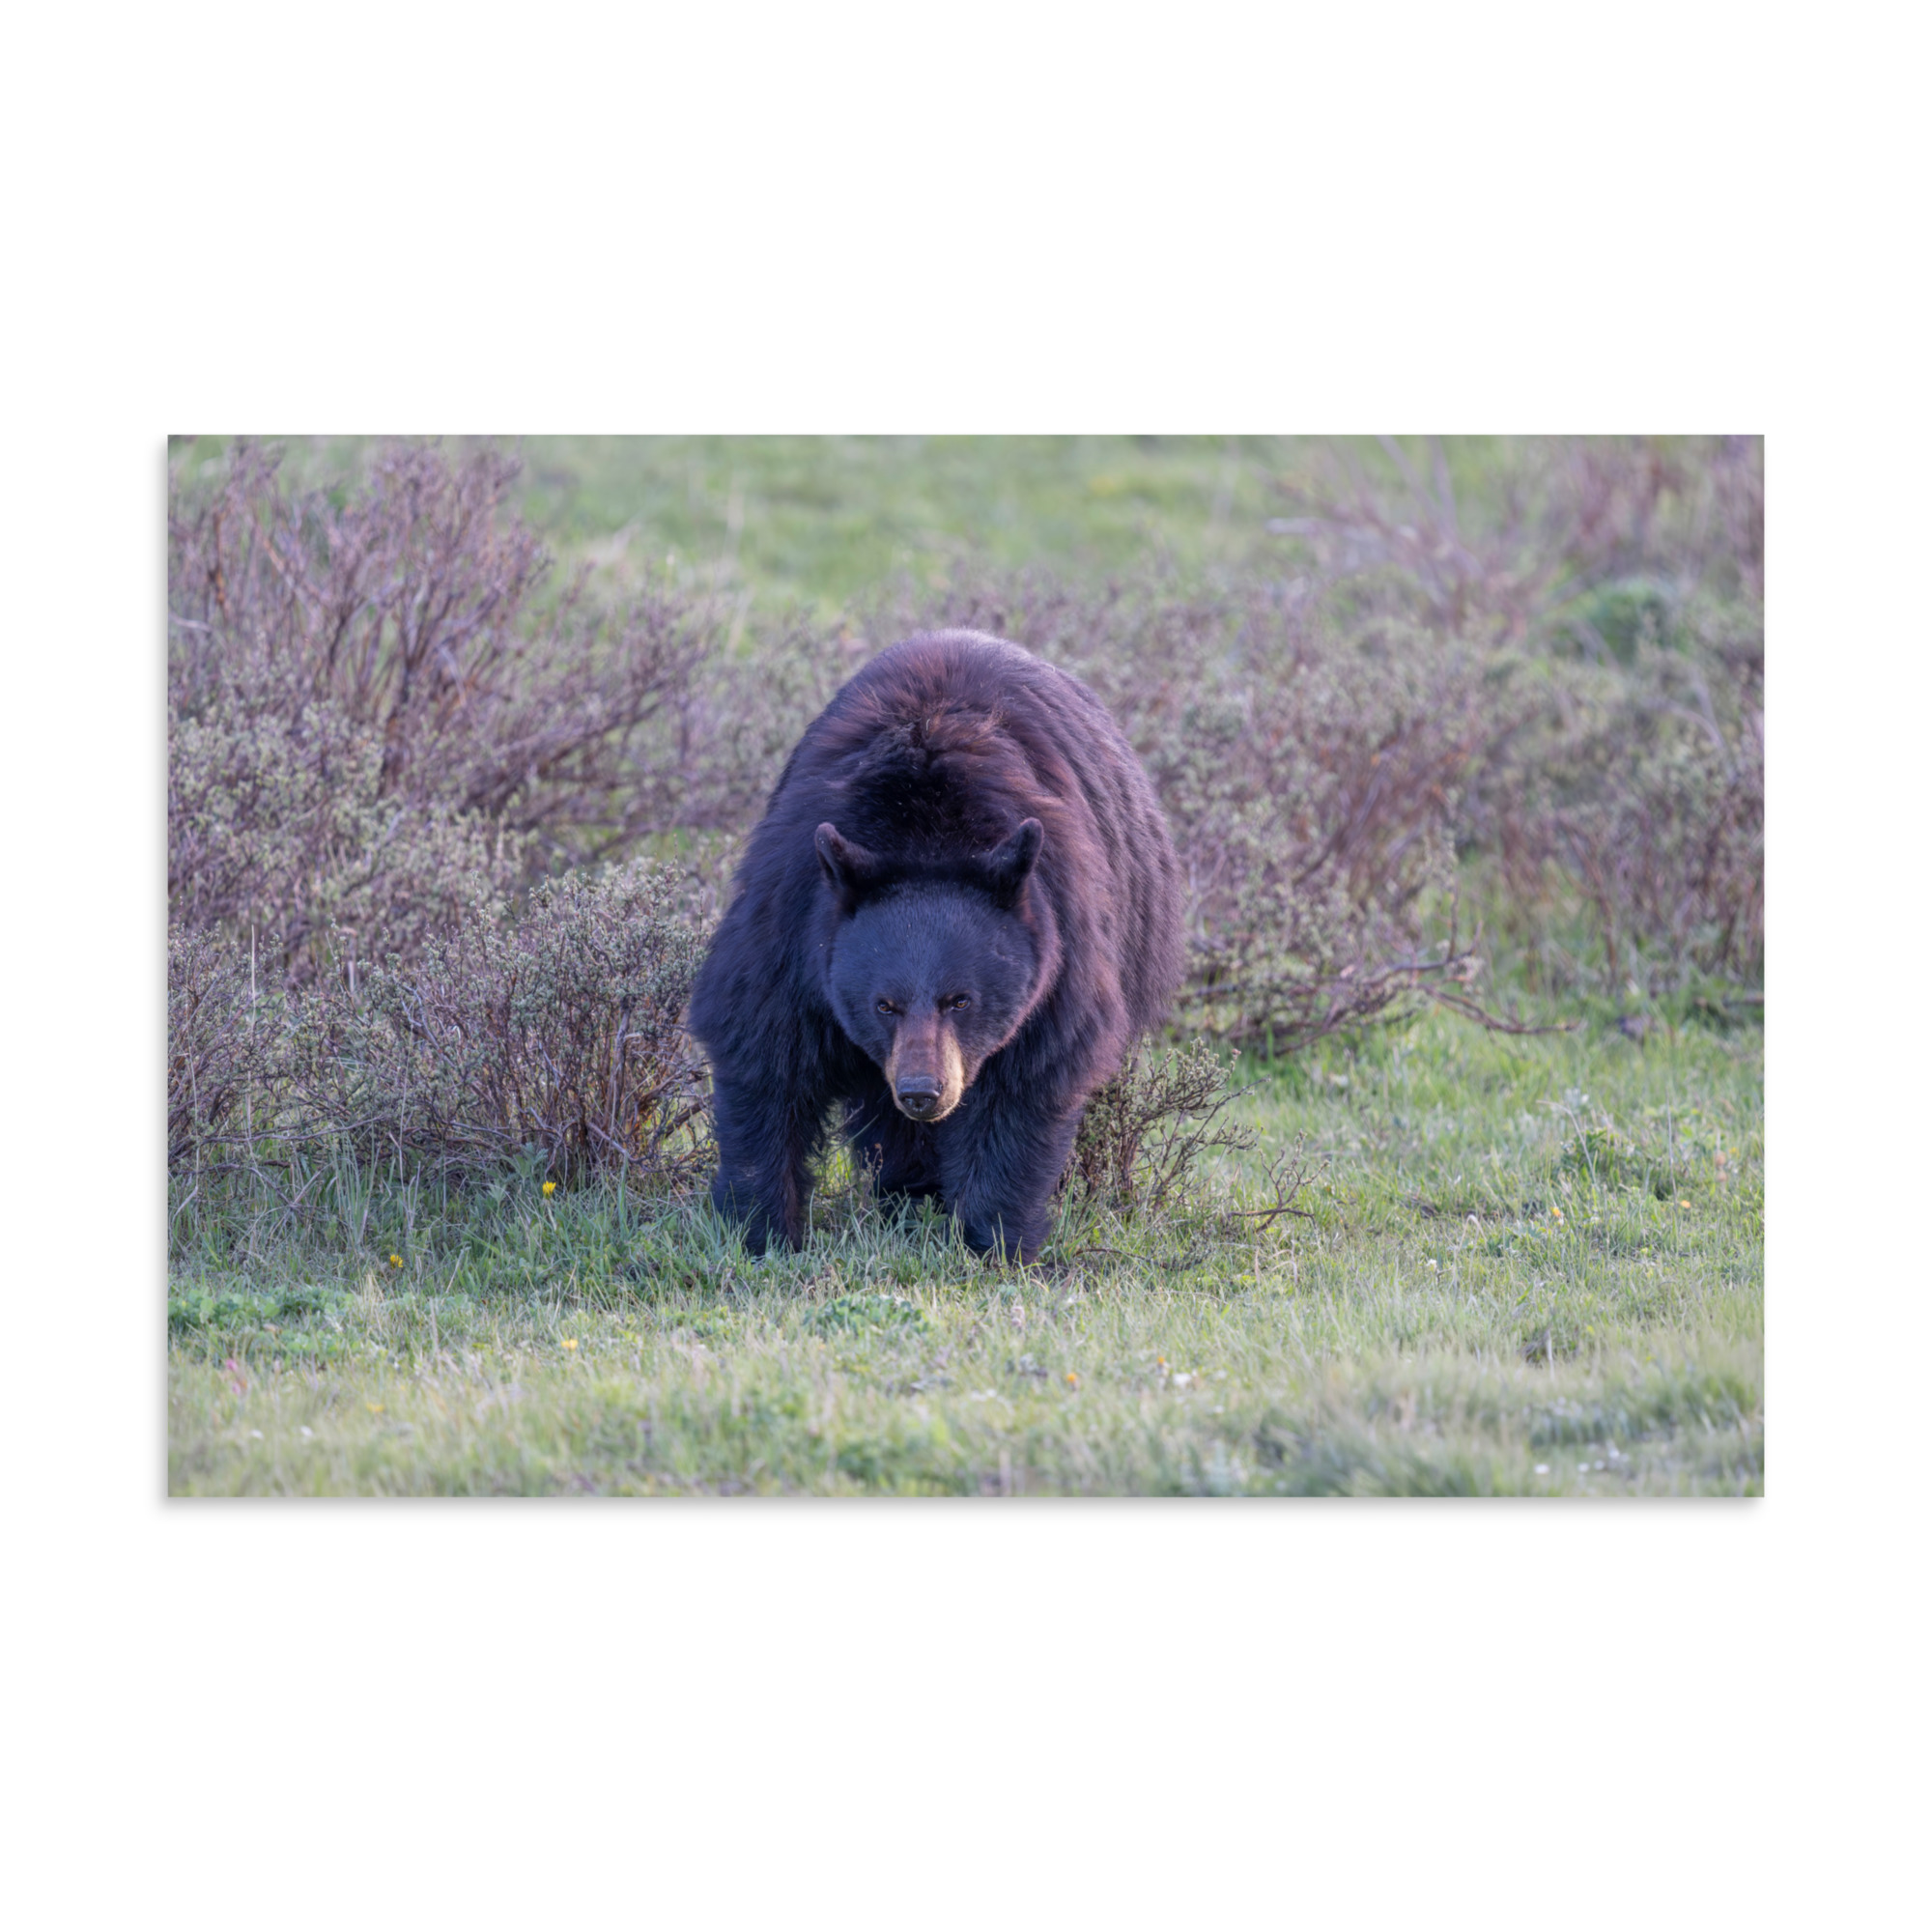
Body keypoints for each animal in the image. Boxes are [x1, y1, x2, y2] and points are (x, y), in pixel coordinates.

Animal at [687, 629, 1184, 1263]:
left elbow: (1025, 1084)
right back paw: (907, 1192)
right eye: (884, 1004)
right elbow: (763, 1052)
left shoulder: (1060, 943)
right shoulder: (793, 919)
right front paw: (761, 1230)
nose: (924, 1092)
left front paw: (996, 1241)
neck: (924, 831)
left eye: (961, 1000)